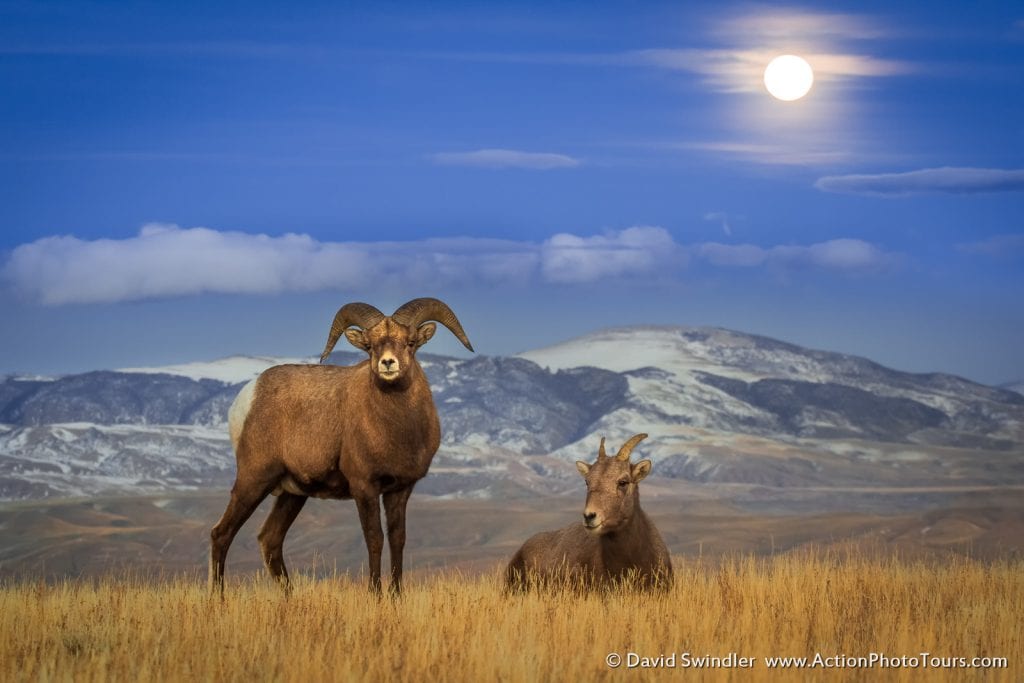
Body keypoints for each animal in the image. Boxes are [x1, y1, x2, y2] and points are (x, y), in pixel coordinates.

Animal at [215, 296, 475, 593]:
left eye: (410, 342)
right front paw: (375, 594)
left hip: (292, 494)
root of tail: (247, 397)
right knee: (221, 534)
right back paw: (218, 597)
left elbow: (398, 540)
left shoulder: (400, 490)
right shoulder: (364, 487)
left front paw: (396, 596)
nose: (388, 363)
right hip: (254, 480)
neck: (397, 431)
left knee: (270, 539)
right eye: (370, 346)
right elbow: (375, 539)